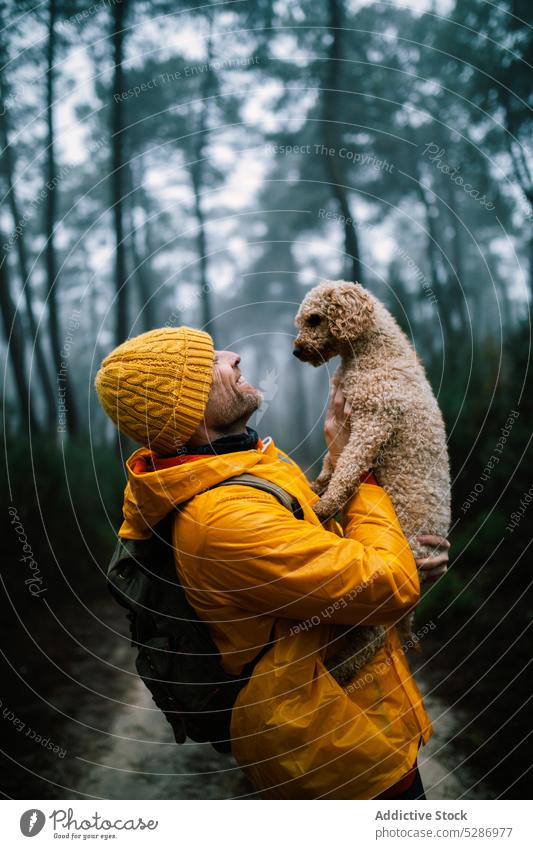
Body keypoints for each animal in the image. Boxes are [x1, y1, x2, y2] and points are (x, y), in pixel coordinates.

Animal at [294, 282, 450, 684]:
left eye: (314, 319)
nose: (296, 350)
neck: (374, 354)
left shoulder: (373, 420)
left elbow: (349, 466)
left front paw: (325, 504)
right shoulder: (348, 424)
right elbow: (332, 462)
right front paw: (317, 486)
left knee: (371, 637)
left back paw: (338, 671)